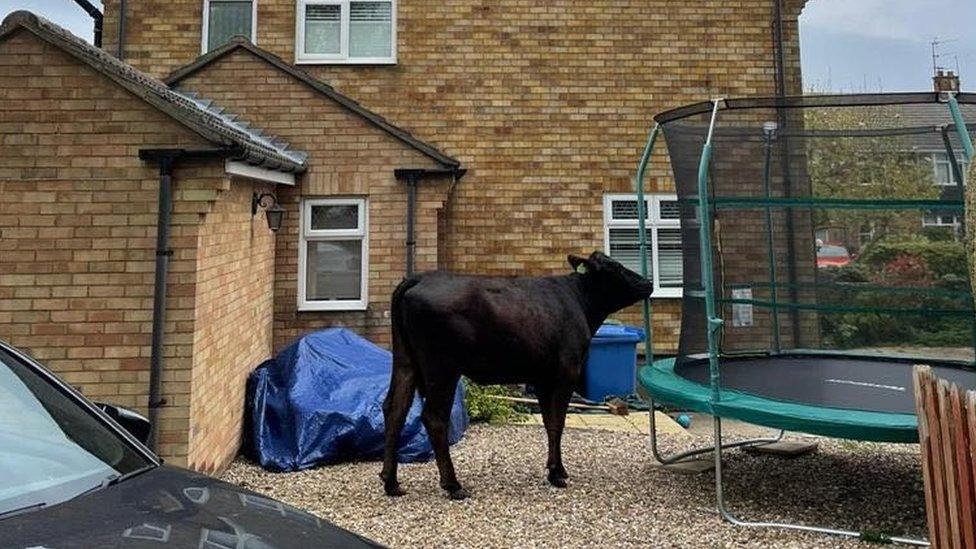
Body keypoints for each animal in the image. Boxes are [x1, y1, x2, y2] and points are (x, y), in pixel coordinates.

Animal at [378, 250, 652, 498]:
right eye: (615, 267)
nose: (648, 283)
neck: (580, 302)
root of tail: (419, 278)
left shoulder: (543, 377)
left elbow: (549, 422)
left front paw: (555, 469)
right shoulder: (566, 371)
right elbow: (558, 421)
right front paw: (556, 473)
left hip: (406, 361)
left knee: (394, 409)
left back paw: (391, 482)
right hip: (442, 367)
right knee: (434, 418)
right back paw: (453, 485)